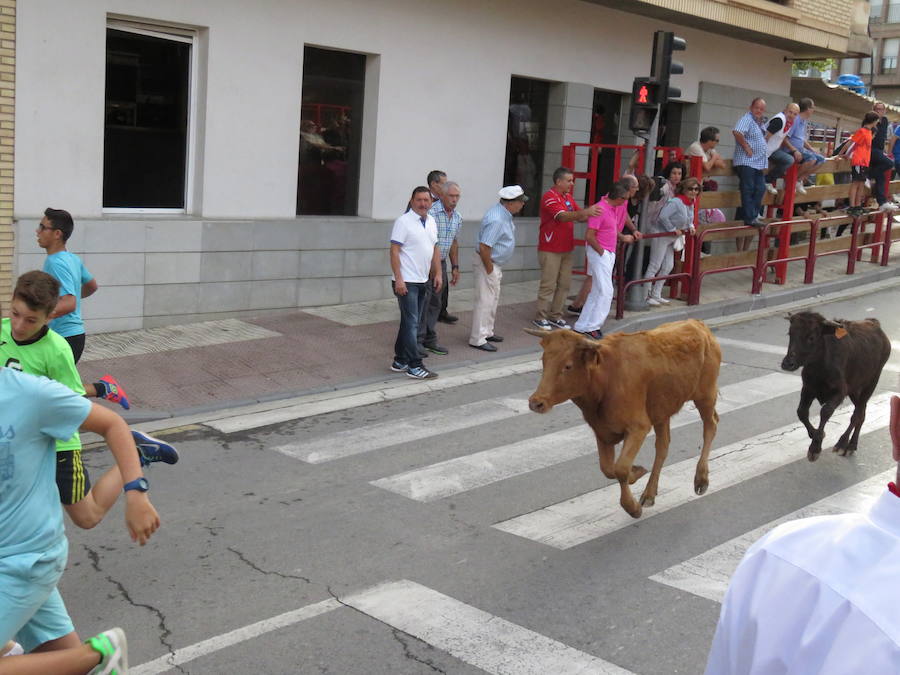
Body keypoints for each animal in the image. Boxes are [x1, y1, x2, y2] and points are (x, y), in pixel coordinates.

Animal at [524, 320, 720, 520]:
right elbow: (607, 469)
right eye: (544, 361)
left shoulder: (638, 427)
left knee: (710, 426)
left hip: (705, 395)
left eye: (568, 366)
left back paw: (701, 479)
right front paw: (637, 471)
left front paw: (632, 507)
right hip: (661, 410)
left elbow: (620, 468)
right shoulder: (602, 431)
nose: (536, 402)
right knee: (663, 446)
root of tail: (697, 324)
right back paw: (649, 494)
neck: (605, 379)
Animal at [780, 312, 892, 462]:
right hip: (854, 389)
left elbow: (825, 412)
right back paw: (851, 444)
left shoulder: (840, 392)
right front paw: (816, 434)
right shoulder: (808, 389)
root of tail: (875, 324)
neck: (819, 367)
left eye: (811, 337)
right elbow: (801, 412)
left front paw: (815, 448)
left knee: (857, 414)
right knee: (862, 412)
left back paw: (844, 444)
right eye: (790, 333)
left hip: (871, 382)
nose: (787, 363)